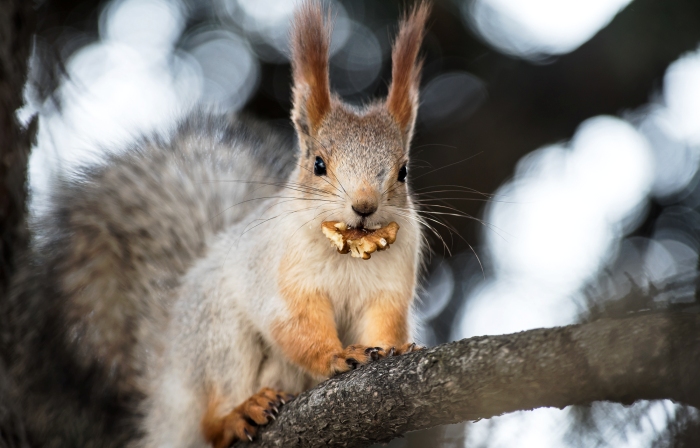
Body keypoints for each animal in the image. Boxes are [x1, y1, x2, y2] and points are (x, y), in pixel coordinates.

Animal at [1, 1, 432, 446]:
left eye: (403, 172)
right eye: (318, 164)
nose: (364, 206)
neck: (348, 249)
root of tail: (169, 401)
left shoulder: (391, 284)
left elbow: (384, 321)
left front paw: (400, 349)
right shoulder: (280, 276)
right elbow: (295, 325)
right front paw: (335, 354)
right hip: (217, 337)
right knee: (212, 414)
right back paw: (238, 413)